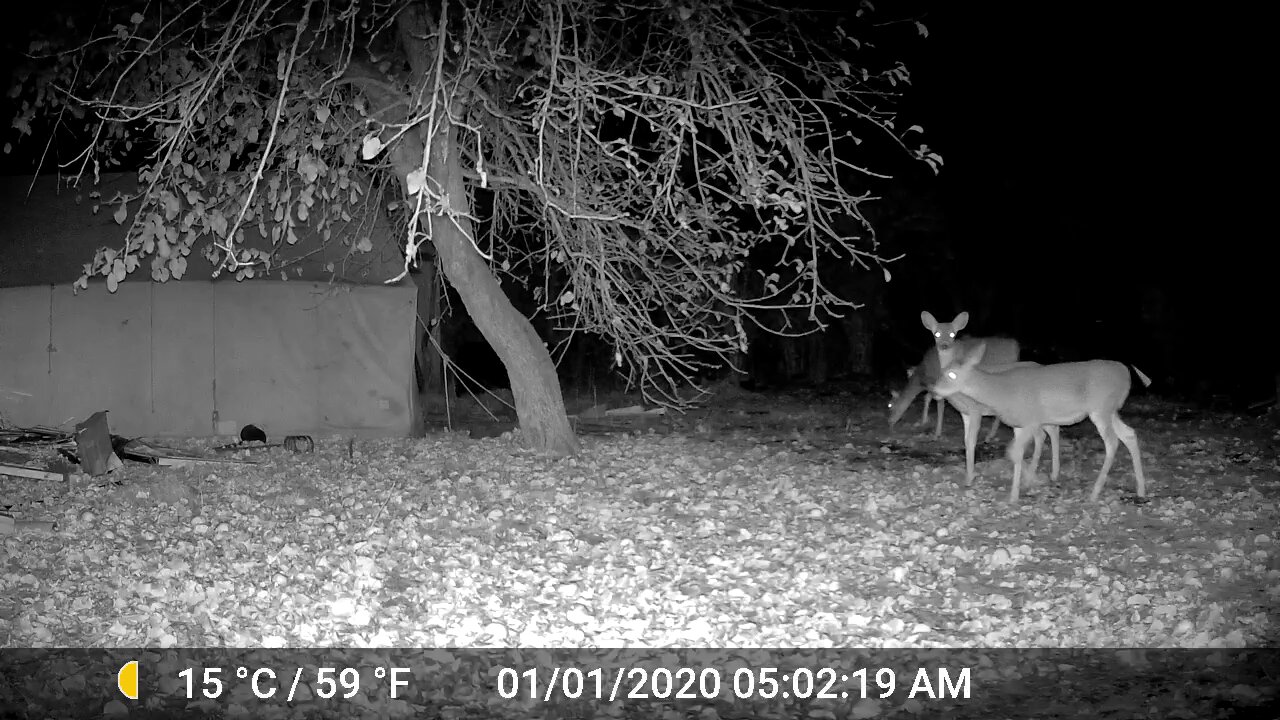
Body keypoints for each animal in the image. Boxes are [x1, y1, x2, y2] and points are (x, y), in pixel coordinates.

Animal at [890, 345, 1059, 486]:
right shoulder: (964, 413)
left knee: (1046, 433)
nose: (889, 422)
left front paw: (970, 478)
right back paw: (1051, 473)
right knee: (1049, 432)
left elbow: (971, 441)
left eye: (890, 405)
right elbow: (966, 441)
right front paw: (968, 474)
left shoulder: (975, 410)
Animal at [931, 340, 1152, 499]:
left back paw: (1095, 492)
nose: (933, 390)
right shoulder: (1019, 425)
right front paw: (1017, 492)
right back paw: (1141, 490)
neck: (1001, 391)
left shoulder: (1031, 420)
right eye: (942, 371)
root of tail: (1125, 372)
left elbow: (1014, 452)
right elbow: (1017, 454)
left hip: (1101, 408)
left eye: (951, 374)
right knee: (1129, 434)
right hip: (1111, 410)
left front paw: (1029, 482)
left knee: (1112, 442)